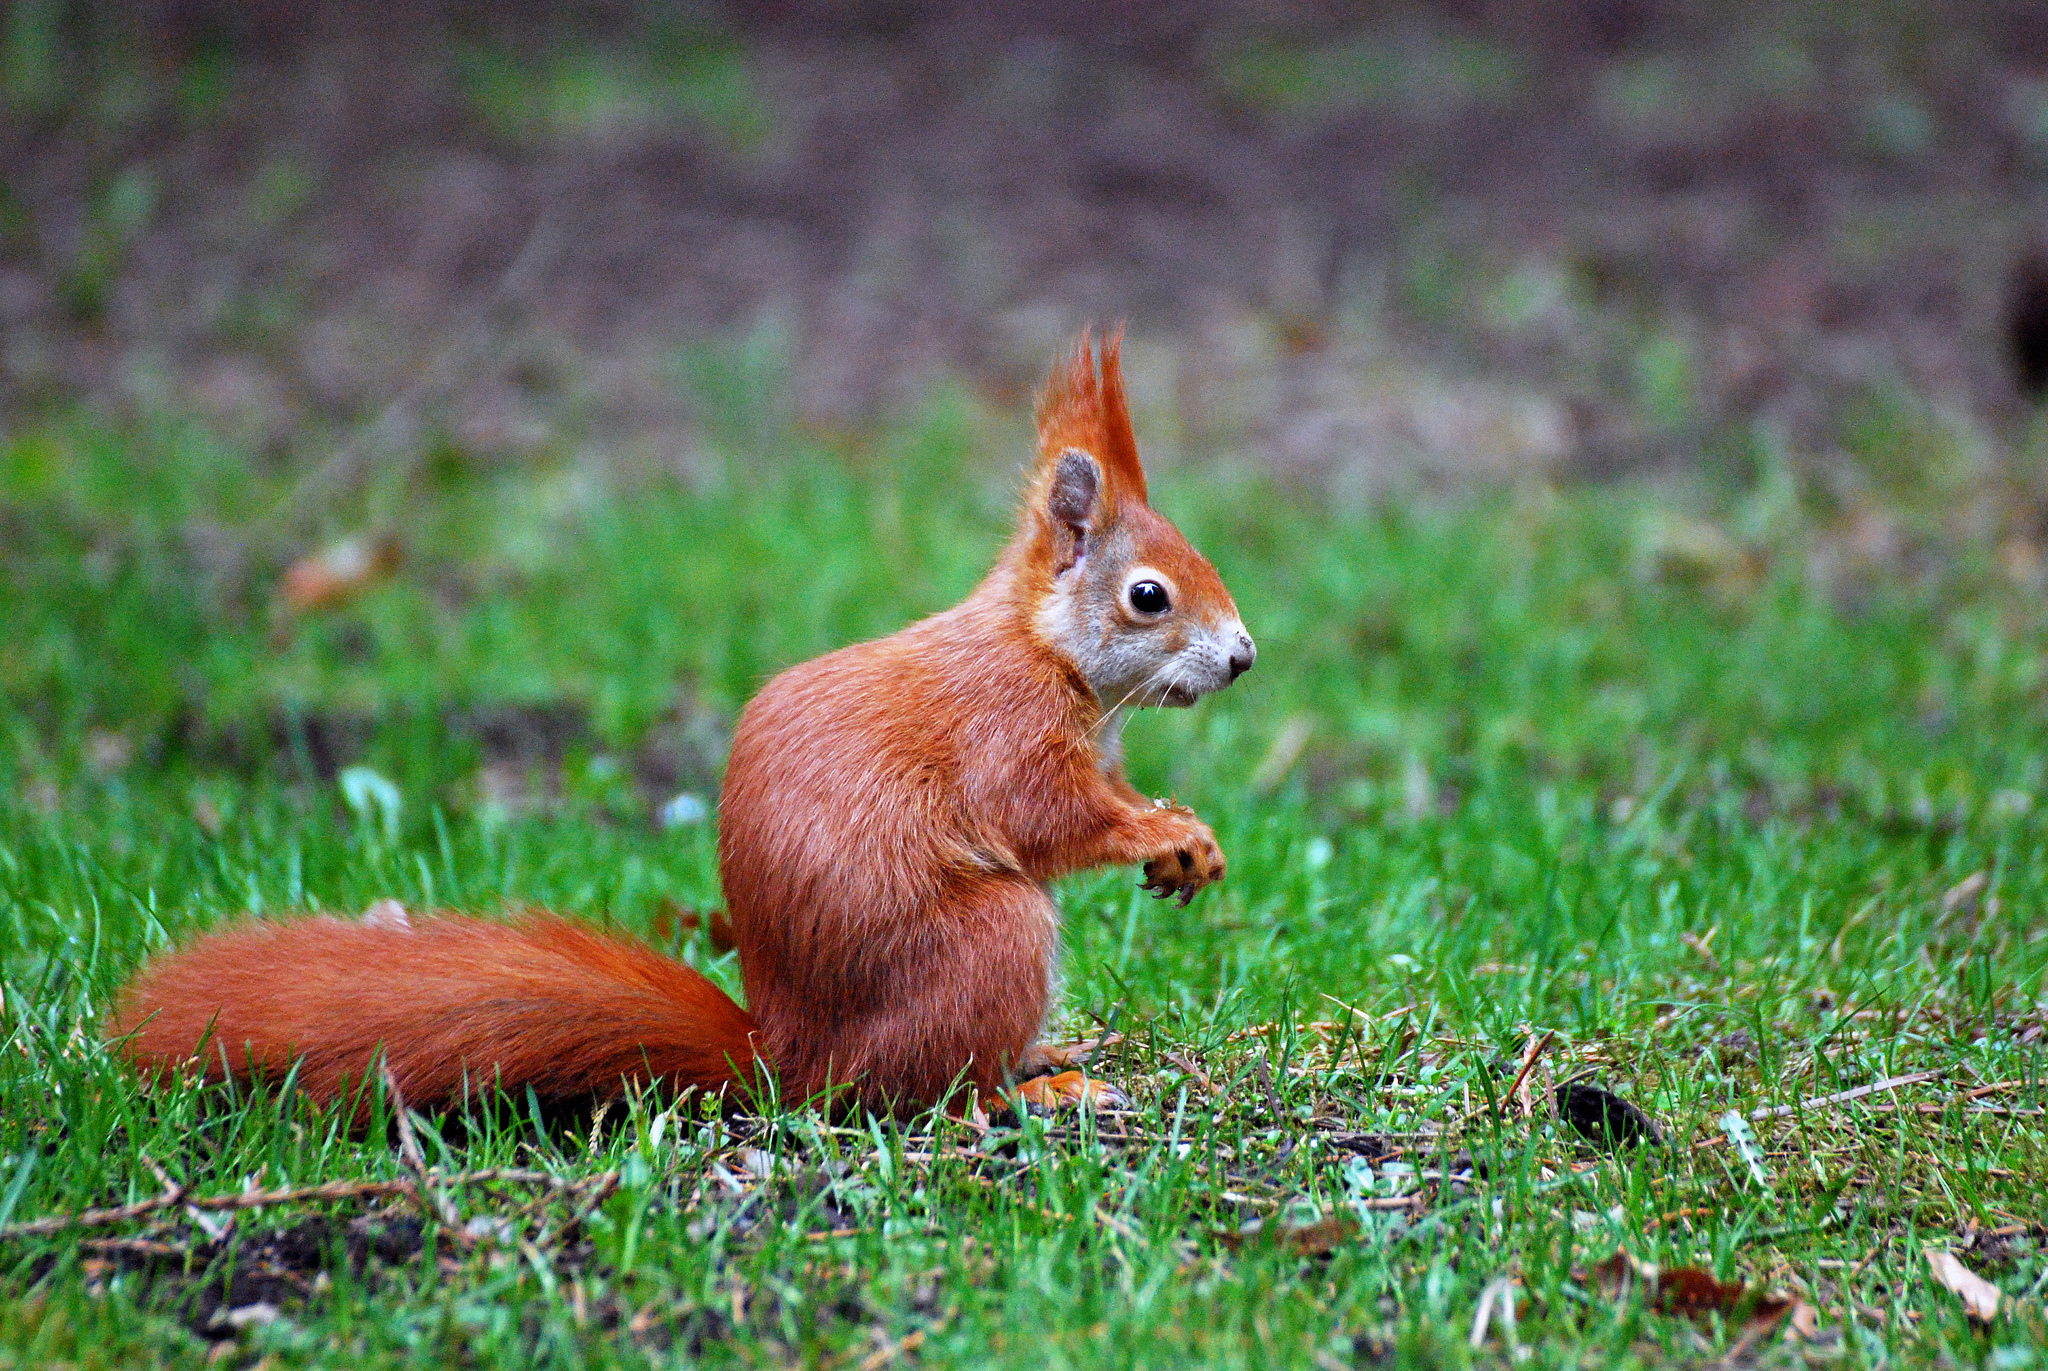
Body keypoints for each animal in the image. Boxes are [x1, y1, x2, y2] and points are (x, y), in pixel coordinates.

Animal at [116, 327, 1261, 1114]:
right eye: (1148, 596)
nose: (1244, 657)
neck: (1044, 650)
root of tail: (791, 1060)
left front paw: (1185, 843)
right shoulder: (1006, 733)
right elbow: (1053, 816)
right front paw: (1164, 831)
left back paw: (1047, 1056)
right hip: (990, 944)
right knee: (927, 1092)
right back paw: (1031, 1088)